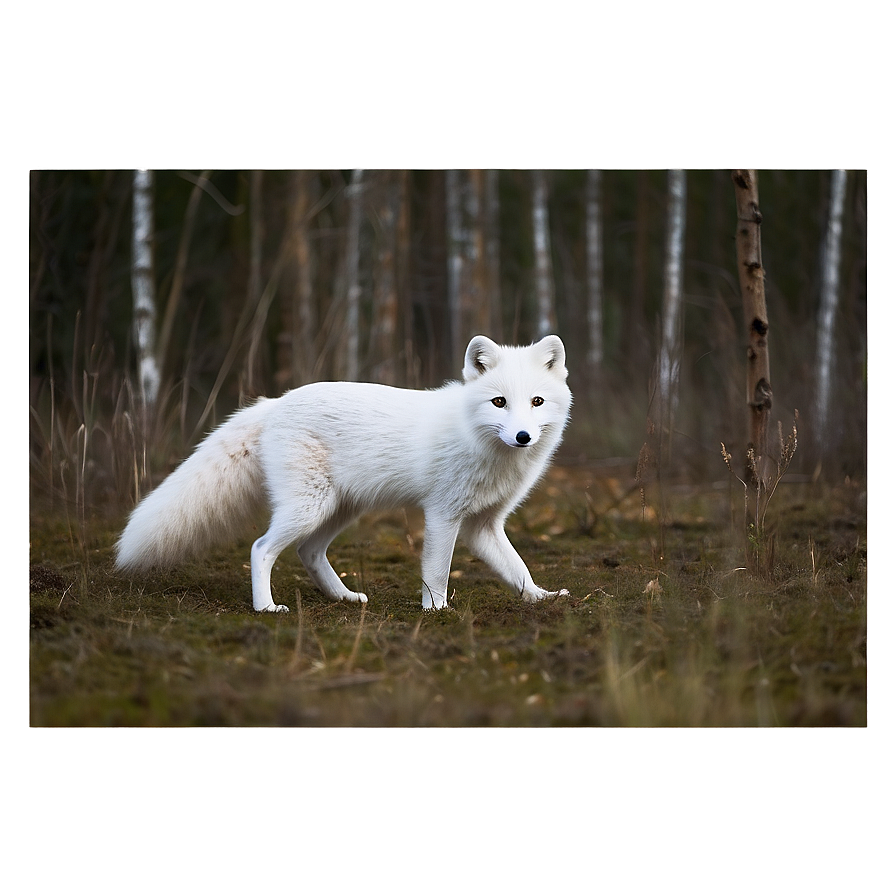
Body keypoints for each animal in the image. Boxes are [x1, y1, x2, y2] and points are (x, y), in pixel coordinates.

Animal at [114, 334, 572, 612]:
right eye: (499, 402)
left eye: (536, 401)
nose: (523, 436)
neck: (481, 443)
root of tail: (274, 403)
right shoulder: (443, 515)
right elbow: (437, 572)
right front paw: (437, 611)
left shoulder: (484, 525)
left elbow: (518, 568)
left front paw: (541, 597)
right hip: (309, 508)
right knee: (261, 548)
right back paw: (266, 607)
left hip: (340, 510)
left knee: (309, 552)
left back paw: (345, 597)